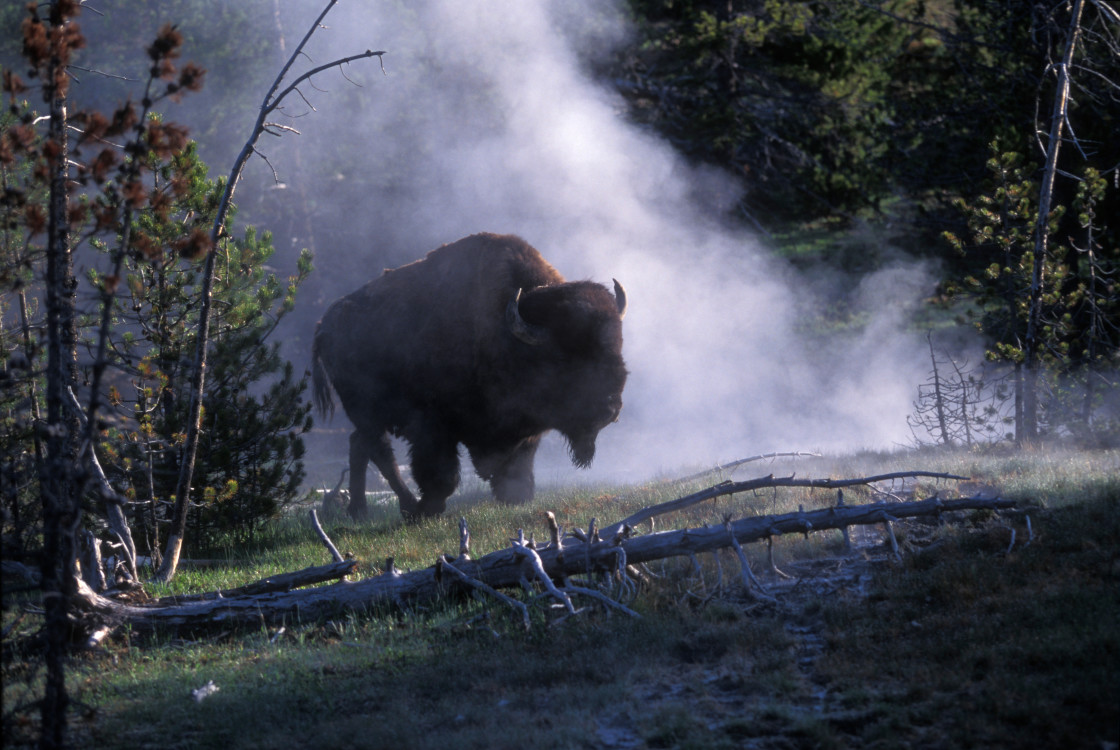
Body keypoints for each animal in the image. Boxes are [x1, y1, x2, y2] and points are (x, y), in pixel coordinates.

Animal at [311, 235, 631, 523]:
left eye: (618, 347)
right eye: (565, 356)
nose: (610, 409)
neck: (506, 334)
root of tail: (324, 324)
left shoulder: (524, 431)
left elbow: (517, 467)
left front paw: (514, 497)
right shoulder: (431, 424)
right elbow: (442, 474)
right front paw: (429, 509)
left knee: (359, 445)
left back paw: (359, 512)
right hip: (365, 410)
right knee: (380, 451)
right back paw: (404, 508)